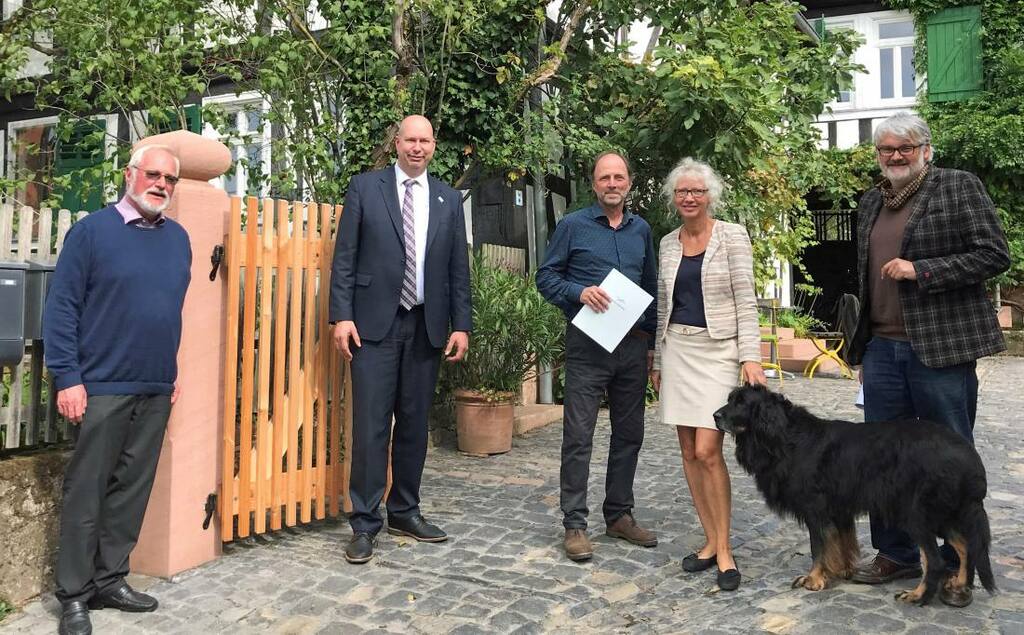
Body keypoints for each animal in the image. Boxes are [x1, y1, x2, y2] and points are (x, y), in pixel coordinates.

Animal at [713, 384, 996, 606]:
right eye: (730, 398)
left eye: (741, 402)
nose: (715, 416)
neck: (785, 436)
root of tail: (970, 457)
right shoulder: (838, 510)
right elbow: (839, 545)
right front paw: (837, 571)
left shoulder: (817, 509)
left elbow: (818, 547)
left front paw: (814, 579)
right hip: (946, 512)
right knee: (966, 547)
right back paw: (958, 585)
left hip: (916, 513)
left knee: (935, 561)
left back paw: (918, 596)